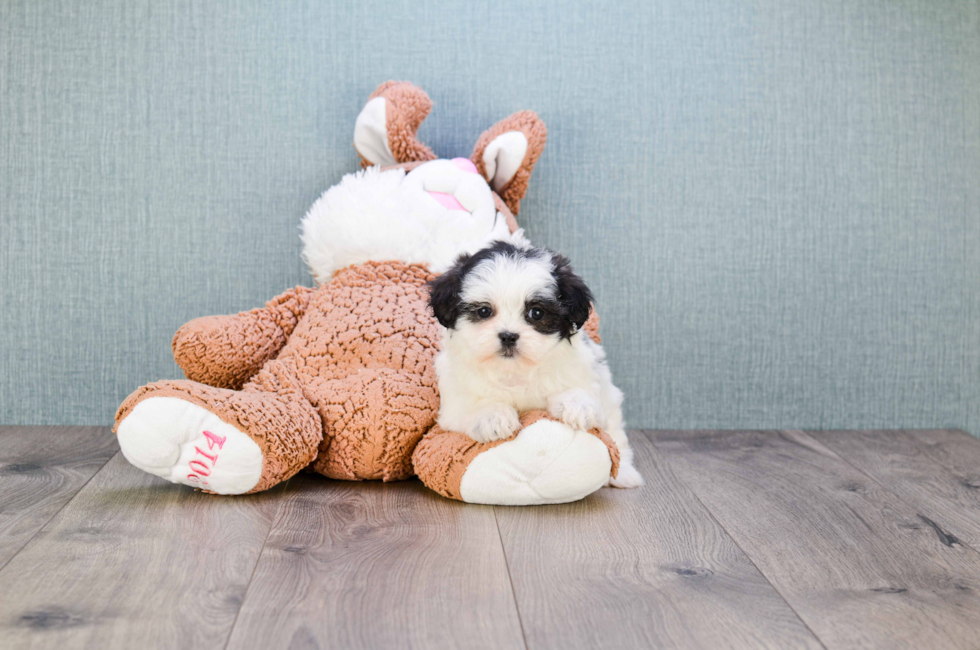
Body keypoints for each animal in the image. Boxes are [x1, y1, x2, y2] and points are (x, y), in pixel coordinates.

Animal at [426, 240, 644, 484]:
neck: (515, 370)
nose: (508, 336)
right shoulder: (453, 400)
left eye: (536, 313)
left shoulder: (586, 371)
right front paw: (493, 416)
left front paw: (577, 406)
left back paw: (624, 473)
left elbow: (580, 391)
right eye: (484, 311)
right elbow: (472, 404)